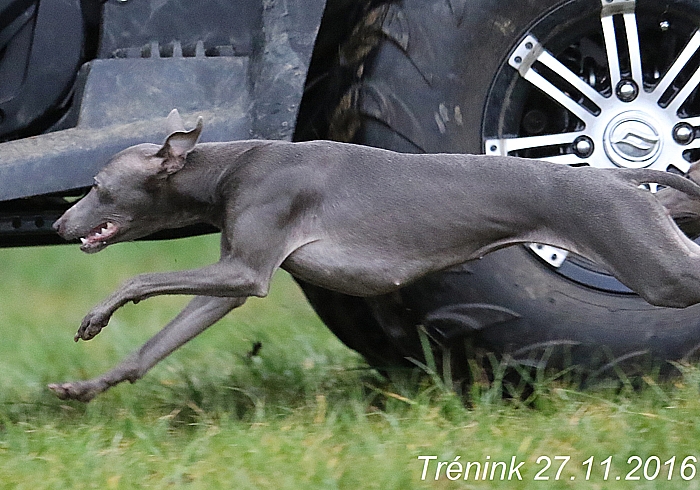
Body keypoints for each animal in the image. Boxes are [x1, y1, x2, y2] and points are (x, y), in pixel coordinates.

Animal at [52, 110, 700, 402]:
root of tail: (619, 179)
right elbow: (156, 346)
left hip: (655, 267)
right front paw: (87, 387)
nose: (59, 224)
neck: (230, 167)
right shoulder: (232, 281)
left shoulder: (245, 269)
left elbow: (141, 277)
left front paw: (95, 316)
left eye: (97, 185)